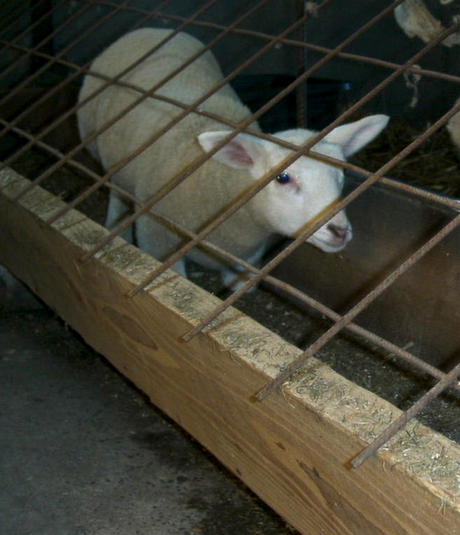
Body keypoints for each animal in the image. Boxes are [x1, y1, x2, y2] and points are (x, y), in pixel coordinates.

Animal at [78, 28, 388, 288]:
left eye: (341, 175)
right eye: (283, 178)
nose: (339, 232)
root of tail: (152, 29)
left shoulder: (247, 259)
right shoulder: (157, 238)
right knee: (116, 190)